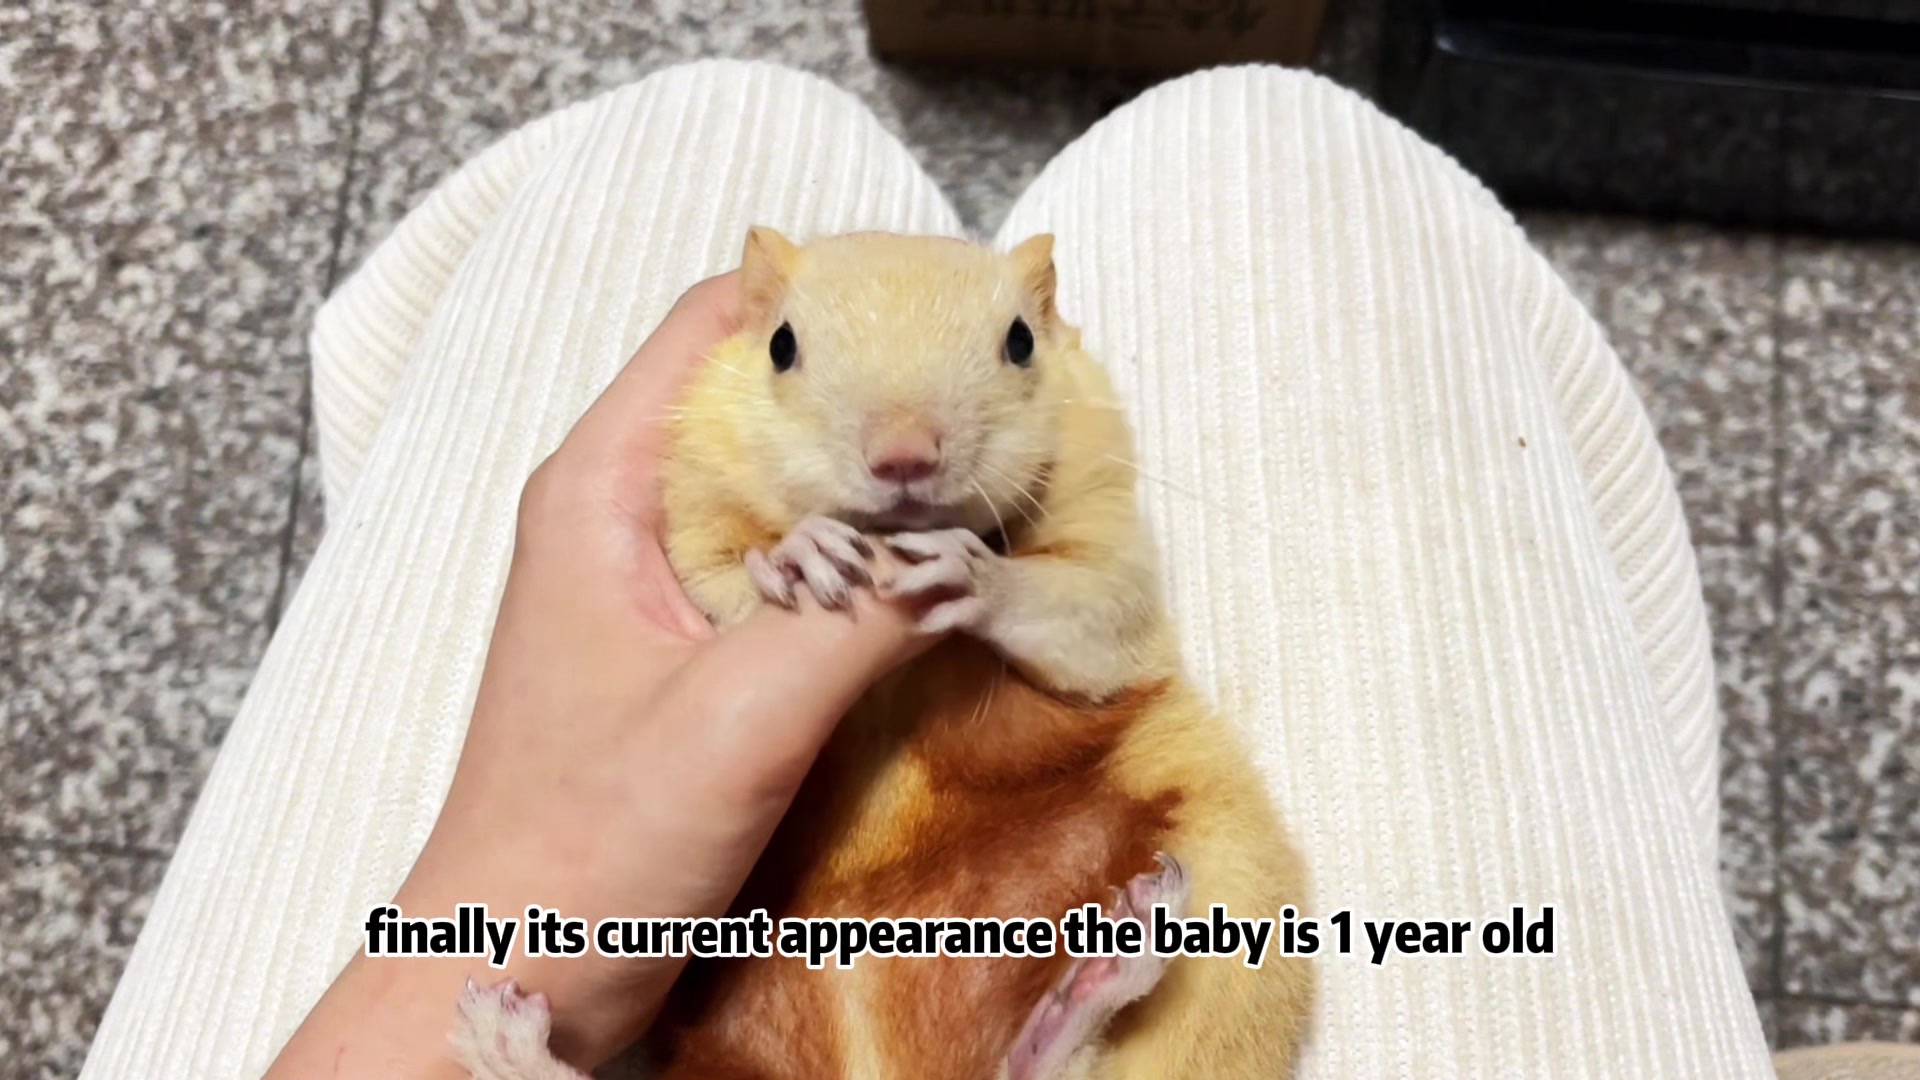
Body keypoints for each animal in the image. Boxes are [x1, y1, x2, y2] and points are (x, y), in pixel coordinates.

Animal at [451, 230, 1314, 1080]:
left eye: (1022, 341)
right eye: (781, 345)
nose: (905, 457)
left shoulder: (1111, 561)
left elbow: (1082, 608)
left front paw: (968, 571)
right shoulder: (694, 521)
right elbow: (722, 579)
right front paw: (799, 556)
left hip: (1226, 881)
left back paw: (1115, 955)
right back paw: (500, 1036)